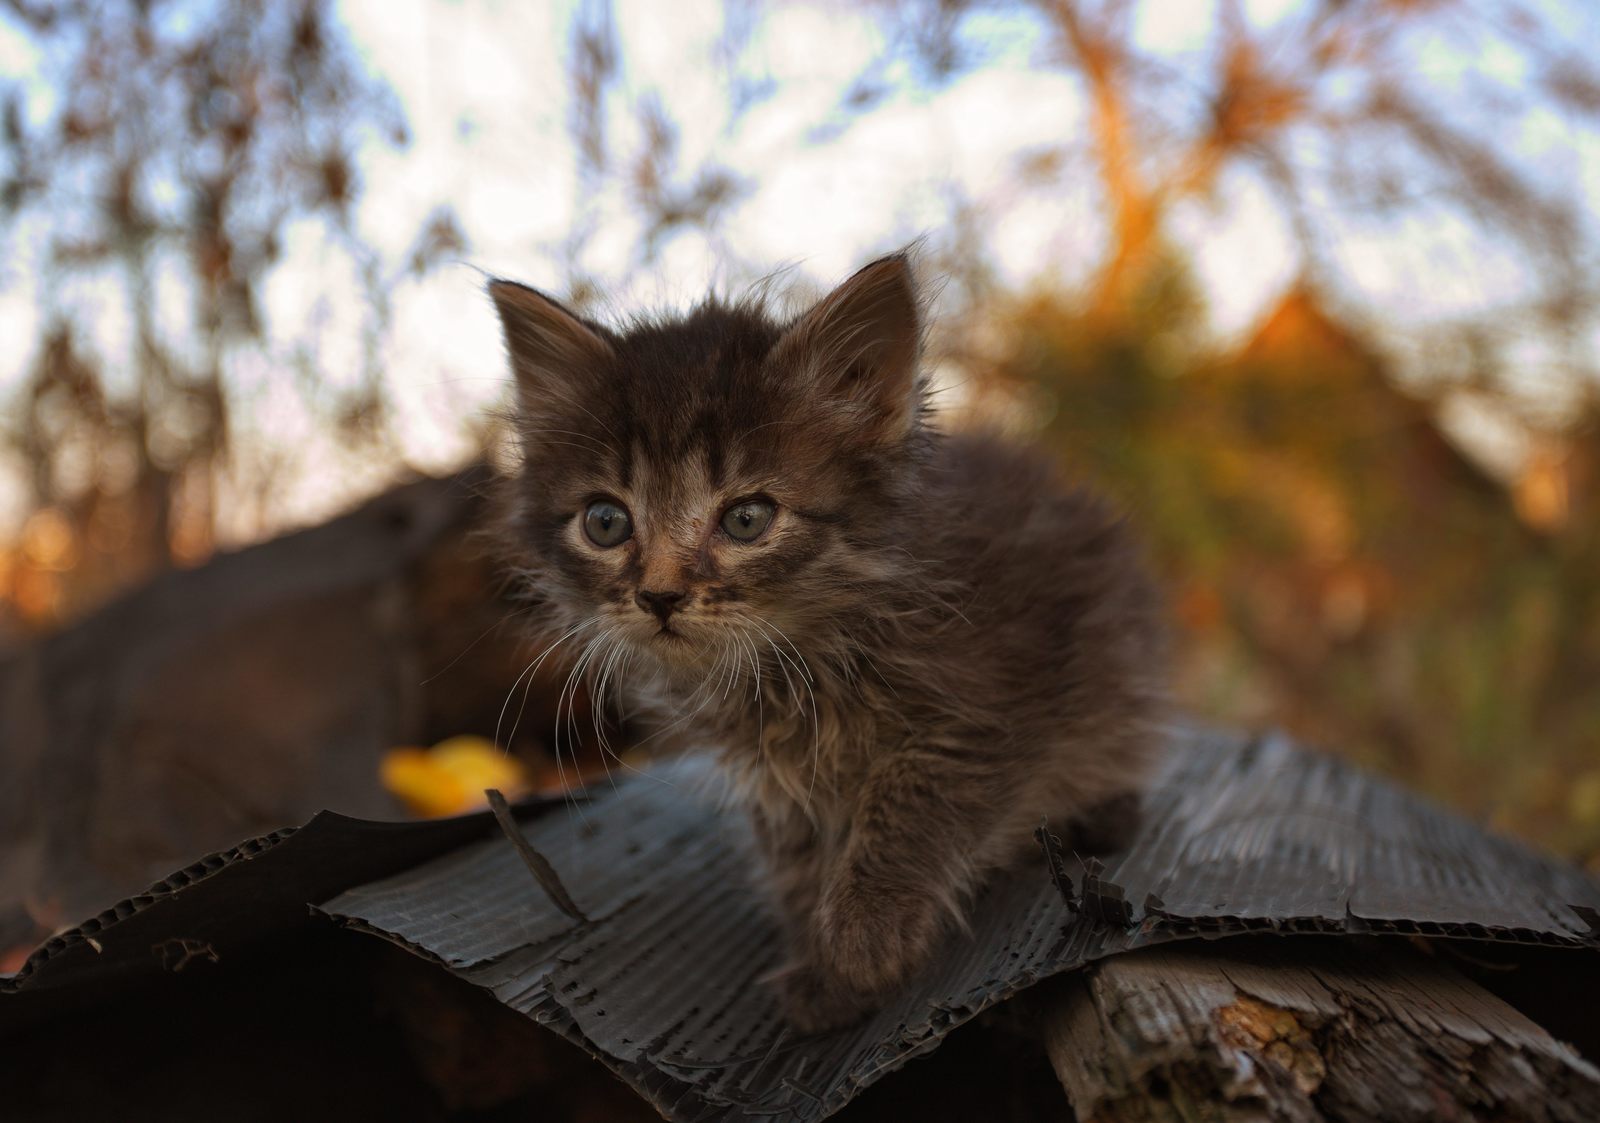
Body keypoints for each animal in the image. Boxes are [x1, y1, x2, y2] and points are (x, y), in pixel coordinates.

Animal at [486, 255, 1164, 1036]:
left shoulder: (991, 703)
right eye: (605, 522)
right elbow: (799, 859)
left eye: (747, 519)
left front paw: (862, 940)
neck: (798, 659)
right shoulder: (777, 779)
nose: (658, 596)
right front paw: (821, 954)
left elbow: (912, 807)